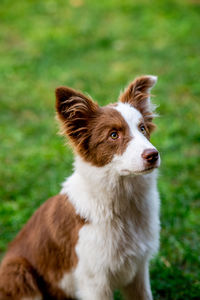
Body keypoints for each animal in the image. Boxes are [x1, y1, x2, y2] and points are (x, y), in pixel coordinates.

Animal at [0, 75, 160, 300]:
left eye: (142, 128)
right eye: (113, 135)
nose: (153, 155)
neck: (122, 203)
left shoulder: (138, 270)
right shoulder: (94, 280)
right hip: (17, 271)